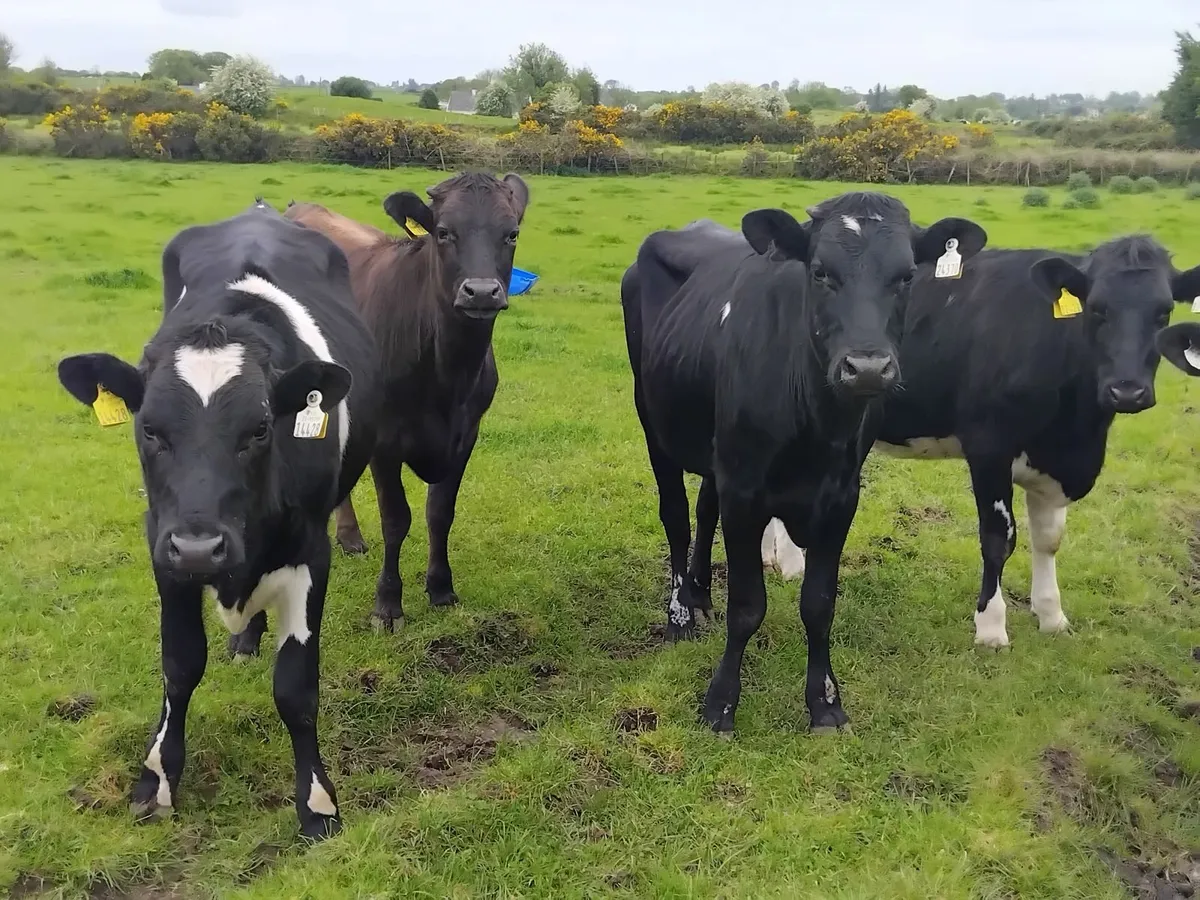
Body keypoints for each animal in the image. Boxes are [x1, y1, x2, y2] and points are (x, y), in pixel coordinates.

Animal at [55, 199, 380, 839]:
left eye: (260, 429)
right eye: (149, 429)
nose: (203, 549)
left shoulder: (311, 552)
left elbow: (296, 687)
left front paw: (317, 803)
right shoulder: (163, 544)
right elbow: (179, 666)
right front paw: (156, 780)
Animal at [284, 171, 529, 629]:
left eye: (512, 234)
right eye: (444, 232)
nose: (481, 292)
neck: (448, 372)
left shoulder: (466, 435)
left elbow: (440, 512)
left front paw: (441, 588)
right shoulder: (385, 441)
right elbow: (396, 520)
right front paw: (388, 604)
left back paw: (349, 536)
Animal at [621, 193, 987, 735]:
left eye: (906, 276)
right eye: (820, 271)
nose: (868, 368)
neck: (817, 425)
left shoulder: (840, 496)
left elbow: (819, 605)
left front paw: (825, 703)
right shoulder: (744, 491)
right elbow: (748, 606)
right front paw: (721, 704)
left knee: (704, 510)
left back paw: (701, 596)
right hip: (653, 420)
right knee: (676, 517)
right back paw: (680, 614)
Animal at [750, 235, 1200, 649]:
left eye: (1163, 312)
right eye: (1098, 309)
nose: (1127, 391)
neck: (1075, 430)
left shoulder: (1056, 463)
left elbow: (1049, 540)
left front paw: (1051, 615)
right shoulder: (988, 448)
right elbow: (998, 539)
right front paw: (991, 626)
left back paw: (773, 556)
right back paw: (790, 561)